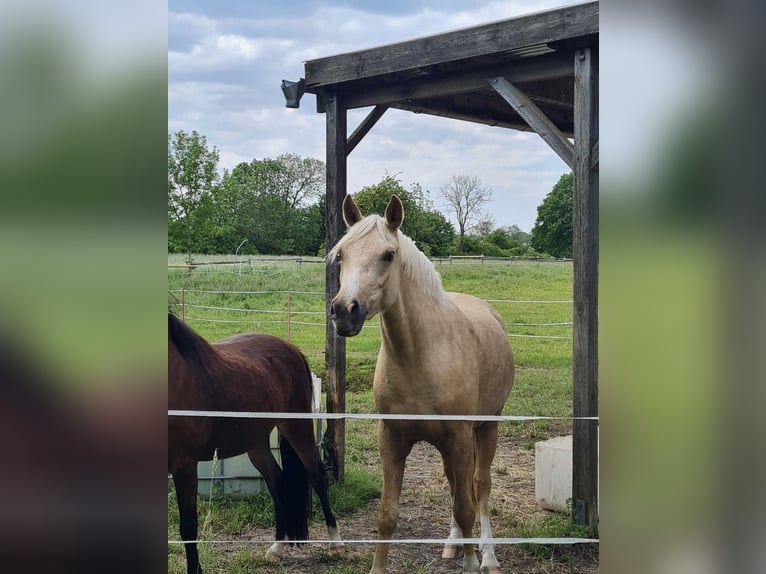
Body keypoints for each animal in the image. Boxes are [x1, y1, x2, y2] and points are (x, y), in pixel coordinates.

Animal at [172, 316, 348, 574]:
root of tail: (291, 348)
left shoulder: (184, 466)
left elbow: (188, 526)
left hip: (297, 428)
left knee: (317, 476)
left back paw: (336, 543)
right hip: (256, 443)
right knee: (276, 481)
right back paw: (277, 547)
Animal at [330, 196, 516, 572]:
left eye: (388, 255)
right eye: (341, 254)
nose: (344, 311)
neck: (421, 356)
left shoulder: (460, 437)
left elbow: (467, 507)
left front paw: (473, 563)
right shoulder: (392, 439)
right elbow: (387, 515)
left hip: (487, 426)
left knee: (480, 487)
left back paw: (488, 555)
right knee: (456, 486)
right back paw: (453, 544)